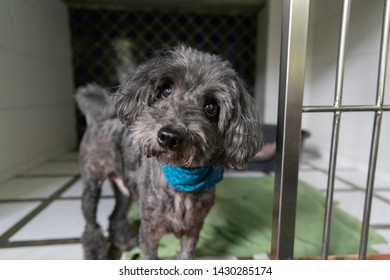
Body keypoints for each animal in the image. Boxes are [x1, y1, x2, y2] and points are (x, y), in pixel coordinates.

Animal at [75, 44, 262, 260]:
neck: (182, 180)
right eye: (166, 90)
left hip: (125, 189)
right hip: (92, 183)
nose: (169, 136)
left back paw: (124, 241)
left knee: (116, 216)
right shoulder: (149, 233)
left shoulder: (193, 232)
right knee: (90, 224)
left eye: (211, 107)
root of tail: (97, 119)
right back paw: (95, 252)